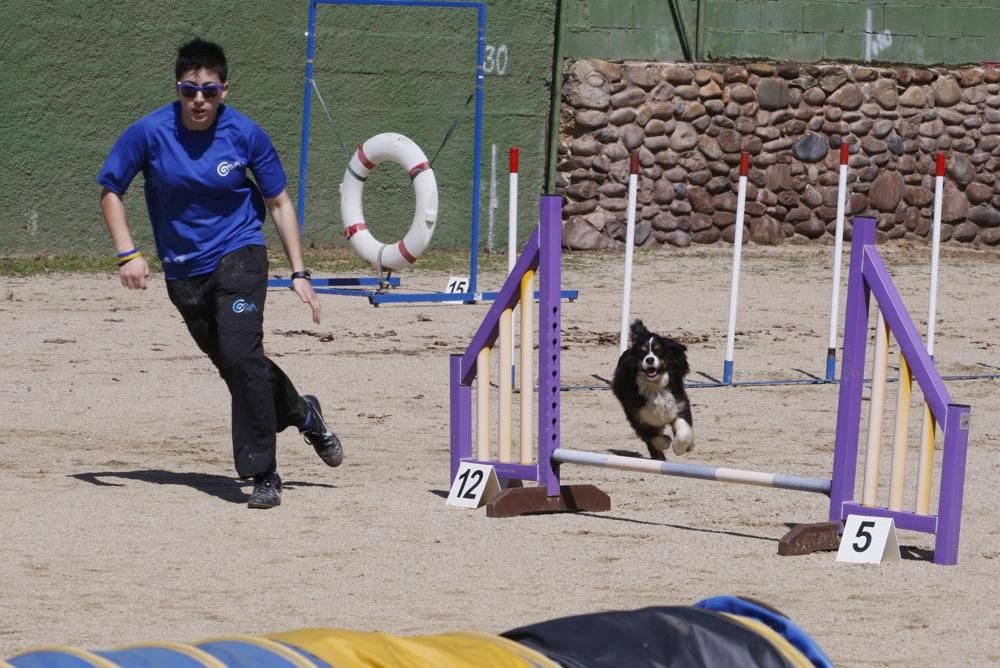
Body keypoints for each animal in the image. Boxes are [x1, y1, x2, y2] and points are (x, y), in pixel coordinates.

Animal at [608, 318, 696, 460]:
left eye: (658, 350)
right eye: (642, 351)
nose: (649, 359)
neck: (655, 387)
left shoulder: (679, 406)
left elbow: (683, 433)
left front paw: (680, 448)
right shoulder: (638, 417)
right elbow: (654, 438)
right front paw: (666, 442)